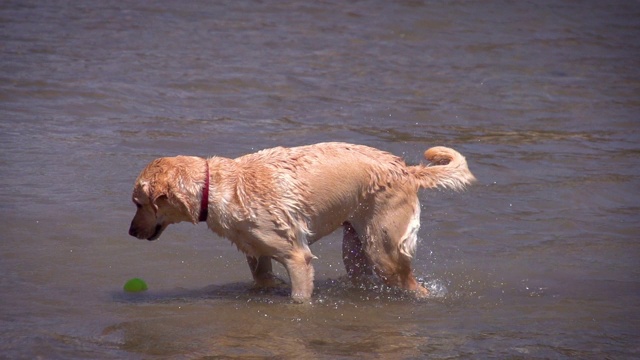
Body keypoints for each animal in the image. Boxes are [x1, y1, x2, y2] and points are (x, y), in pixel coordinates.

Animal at [127, 142, 472, 302]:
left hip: (383, 249)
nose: (130, 231)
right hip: (355, 247)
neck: (216, 188)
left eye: (137, 203)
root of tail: (407, 170)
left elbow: (299, 296)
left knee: (409, 283)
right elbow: (263, 278)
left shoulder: (297, 257)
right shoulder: (257, 254)